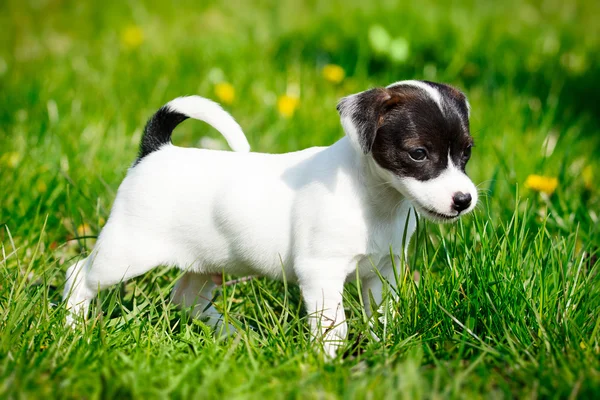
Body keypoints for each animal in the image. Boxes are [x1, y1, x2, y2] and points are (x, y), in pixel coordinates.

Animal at [63, 80, 478, 356]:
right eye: (418, 153)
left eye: (467, 152)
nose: (464, 200)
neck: (375, 199)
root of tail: (155, 151)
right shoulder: (321, 273)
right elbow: (335, 326)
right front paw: (331, 363)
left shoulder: (383, 271)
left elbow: (382, 315)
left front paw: (382, 348)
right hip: (126, 254)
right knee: (79, 275)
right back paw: (73, 327)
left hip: (204, 263)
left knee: (186, 299)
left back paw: (234, 335)